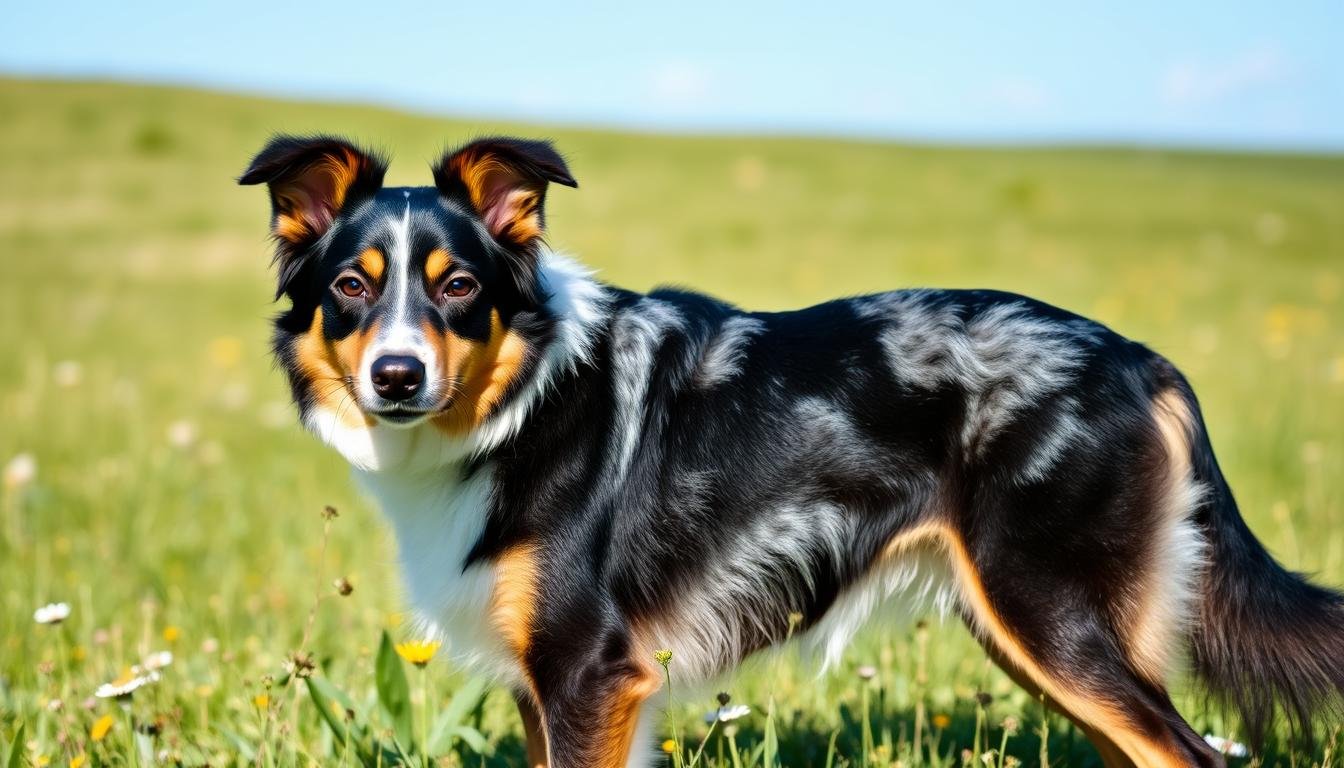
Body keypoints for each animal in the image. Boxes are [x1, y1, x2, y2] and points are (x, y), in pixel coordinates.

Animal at [241, 135, 1344, 763]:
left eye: (459, 286)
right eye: (352, 287)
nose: (397, 377)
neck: (526, 398)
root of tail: (1142, 360)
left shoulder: (587, 670)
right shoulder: (554, 685)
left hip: (1052, 615)